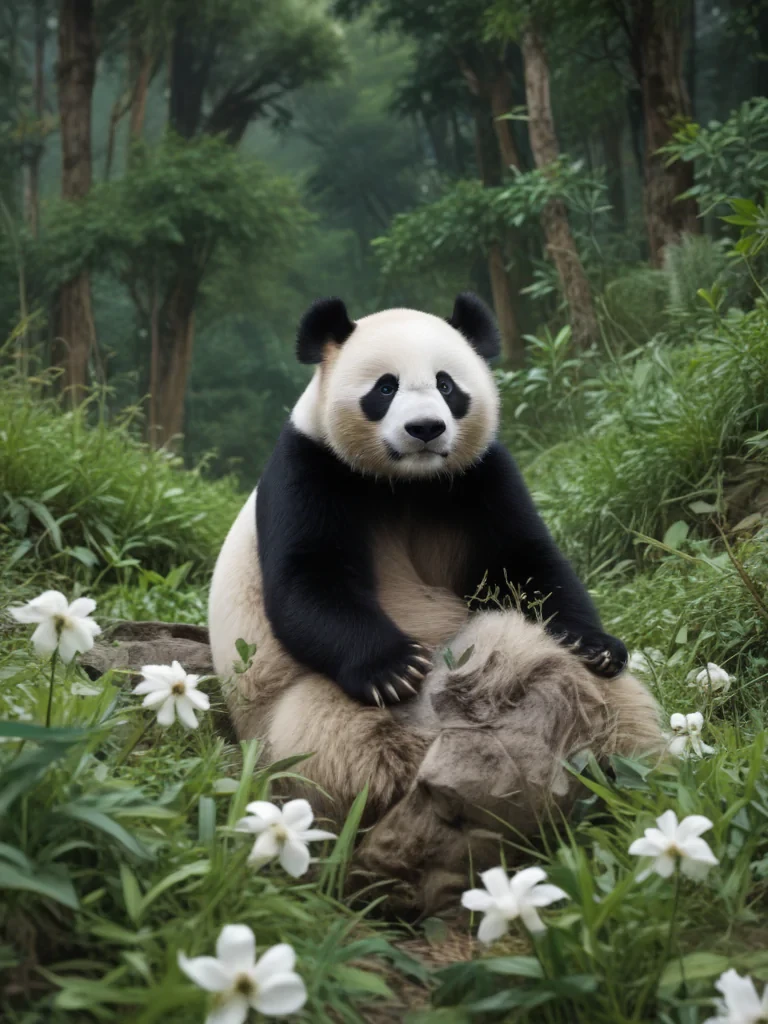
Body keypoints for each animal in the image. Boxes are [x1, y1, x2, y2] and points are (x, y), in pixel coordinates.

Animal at [208, 293, 661, 832]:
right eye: (385, 388)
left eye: (447, 385)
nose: (425, 428)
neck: (408, 483)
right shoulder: (310, 467)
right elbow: (310, 579)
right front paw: (394, 668)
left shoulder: (480, 474)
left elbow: (525, 565)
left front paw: (595, 644)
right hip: (293, 714)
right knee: (334, 741)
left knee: (606, 697)